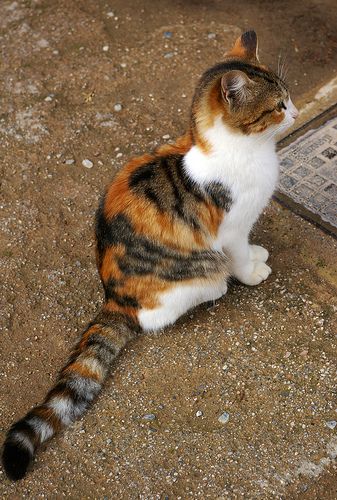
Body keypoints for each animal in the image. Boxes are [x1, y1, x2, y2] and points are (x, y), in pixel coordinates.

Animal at [1, 30, 296, 480]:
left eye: (289, 97)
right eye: (278, 106)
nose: (294, 112)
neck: (243, 151)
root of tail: (114, 296)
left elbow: (250, 245)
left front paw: (258, 253)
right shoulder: (230, 231)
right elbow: (241, 254)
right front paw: (253, 270)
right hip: (199, 271)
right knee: (164, 311)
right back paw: (213, 290)